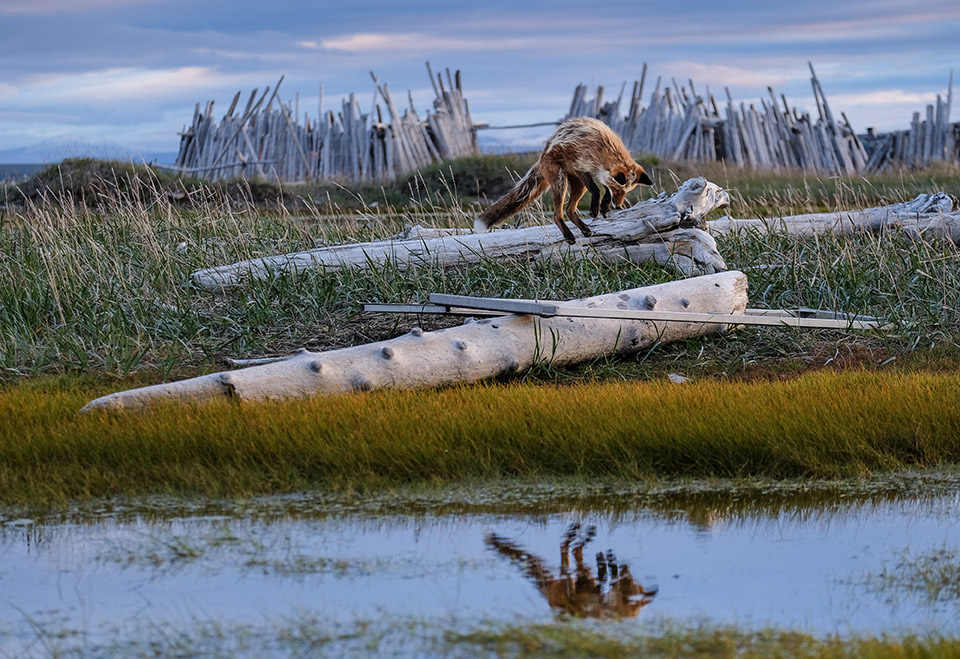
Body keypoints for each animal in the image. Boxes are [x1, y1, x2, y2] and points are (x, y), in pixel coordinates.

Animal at [472, 117, 652, 244]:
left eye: (625, 192)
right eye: (618, 191)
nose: (619, 205)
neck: (603, 150)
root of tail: (542, 156)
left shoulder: (597, 174)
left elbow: (603, 188)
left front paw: (604, 205)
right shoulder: (581, 167)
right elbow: (596, 190)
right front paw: (596, 206)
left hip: (578, 186)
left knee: (569, 210)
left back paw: (584, 230)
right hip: (561, 182)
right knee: (557, 214)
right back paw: (569, 236)